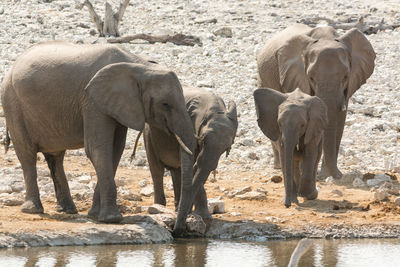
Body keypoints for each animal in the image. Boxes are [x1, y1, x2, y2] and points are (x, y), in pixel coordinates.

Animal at [1, 40, 195, 237]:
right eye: (165, 104)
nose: (177, 230)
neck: (139, 66)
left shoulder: (119, 106)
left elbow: (115, 150)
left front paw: (95, 215)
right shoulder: (92, 102)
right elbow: (98, 149)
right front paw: (112, 219)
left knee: (56, 157)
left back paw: (68, 210)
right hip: (12, 102)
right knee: (27, 154)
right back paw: (33, 210)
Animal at [138, 87, 238, 221]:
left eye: (227, 148)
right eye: (203, 140)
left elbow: (199, 171)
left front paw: (200, 216)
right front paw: (202, 217)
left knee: (177, 171)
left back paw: (177, 208)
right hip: (149, 134)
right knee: (157, 170)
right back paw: (158, 207)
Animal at [256, 23, 376, 180]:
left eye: (345, 76)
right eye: (311, 77)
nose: (333, 175)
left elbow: (339, 119)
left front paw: (333, 175)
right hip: (263, 78)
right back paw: (278, 166)